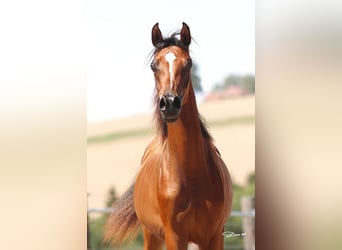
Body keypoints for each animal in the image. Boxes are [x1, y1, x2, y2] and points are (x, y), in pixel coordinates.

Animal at [104, 22, 232, 249]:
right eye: (154, 65)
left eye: (189, 63)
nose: (170, 103)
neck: (191, 175)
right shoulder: (175, 236)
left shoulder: (214, 236)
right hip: (151, 235)